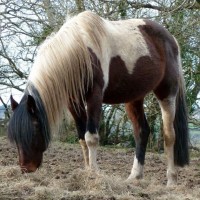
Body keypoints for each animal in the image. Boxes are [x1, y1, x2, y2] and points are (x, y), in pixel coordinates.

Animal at [8, 10, 189, 186]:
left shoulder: (94, 97)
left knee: (169, 135)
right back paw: (135, 177)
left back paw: (171, 180)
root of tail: (171, 39)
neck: (79, 50)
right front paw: (87, 172)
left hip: (166, 93)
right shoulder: (73, 102)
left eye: (34, 130)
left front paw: (94, 174)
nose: (25, 168)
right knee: (142, 132)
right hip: (134, 97)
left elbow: (91, 138)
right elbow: (82, 138)